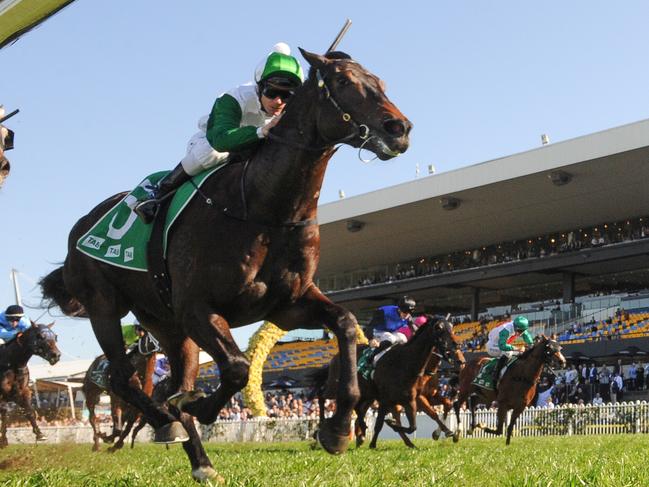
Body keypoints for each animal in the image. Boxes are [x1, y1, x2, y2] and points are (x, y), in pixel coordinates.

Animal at [39, 47, 410, 482]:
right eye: (343, 82)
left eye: (380, 82)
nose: (399, 128)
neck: (263, 206)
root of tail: (81, 228)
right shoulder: (198, 308)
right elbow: (235, 367)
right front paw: (199, 406)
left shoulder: (288, 304)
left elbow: (347, 323)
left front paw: (336, 430)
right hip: (104, 306)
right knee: (122, 377)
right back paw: (166, 420)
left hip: (166, 324)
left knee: (166, 381)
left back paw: (198, 458)